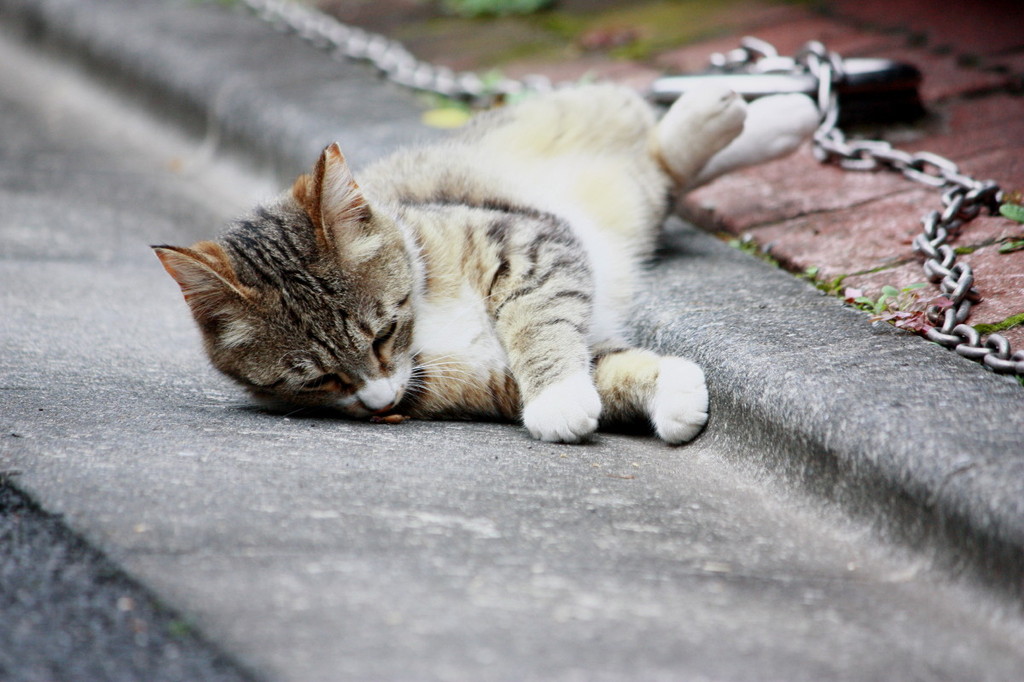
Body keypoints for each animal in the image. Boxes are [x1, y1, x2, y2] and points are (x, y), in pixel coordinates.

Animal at [153, 83, 815, 440]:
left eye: (384, 333)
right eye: (319, 381)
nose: (379, 403)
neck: (426, 318)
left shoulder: (525, 242)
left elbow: (539, 323)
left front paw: (558, 394)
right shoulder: (487, 380)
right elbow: (601, 367)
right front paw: (662, 392)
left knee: (661, 152)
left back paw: (749, 109)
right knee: (663, 170)